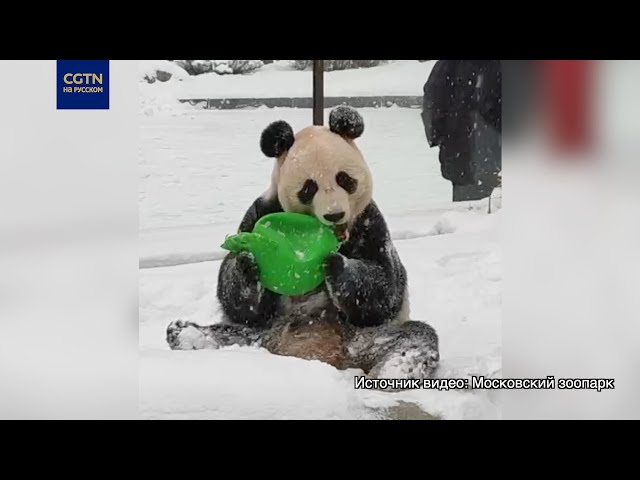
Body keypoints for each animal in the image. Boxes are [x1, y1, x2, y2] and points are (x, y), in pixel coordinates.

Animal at [166, 106, 440, 382]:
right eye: (309, 188)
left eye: (344, 179)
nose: (334, 214)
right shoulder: (259, 212)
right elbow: (243, 306)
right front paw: (247, 264)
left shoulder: (370, 223)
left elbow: (385, 288)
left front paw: (337, 266)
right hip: (259, 334)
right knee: (228, 332)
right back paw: (186, 334)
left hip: (364, 338)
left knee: (414, 336)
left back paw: (392, 372)